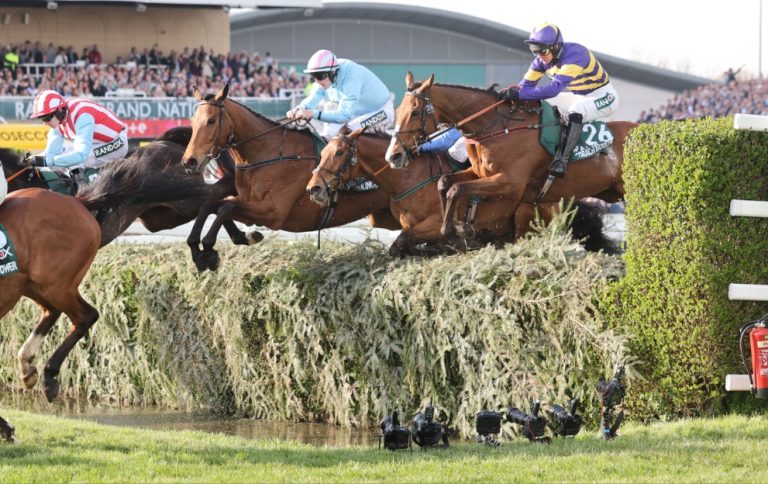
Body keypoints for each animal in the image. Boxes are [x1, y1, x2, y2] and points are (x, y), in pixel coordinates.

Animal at [0, 188, 100, 400]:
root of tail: (75, 201)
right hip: (28, 284)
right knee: (52, 310)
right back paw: (27, 366)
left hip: (56, 284)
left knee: (86, 315)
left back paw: (49, 376)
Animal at [179, 83, 396, 272]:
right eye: (192, 122)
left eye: (211, 121)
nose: (189, 161)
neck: (270, 154)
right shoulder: (249, 202)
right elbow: (211, 205)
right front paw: (200, 249)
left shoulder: (273, 212)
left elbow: (225, 207)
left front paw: (208, 250)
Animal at [384, 72, 636, 240]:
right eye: (397, 110)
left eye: (415, 112)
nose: (393, 156)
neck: (498, 127)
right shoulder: (479, 173)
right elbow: (446, 182)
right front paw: (455, 223)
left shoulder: (510, 183)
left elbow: (457, 189)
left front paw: (452, 227)